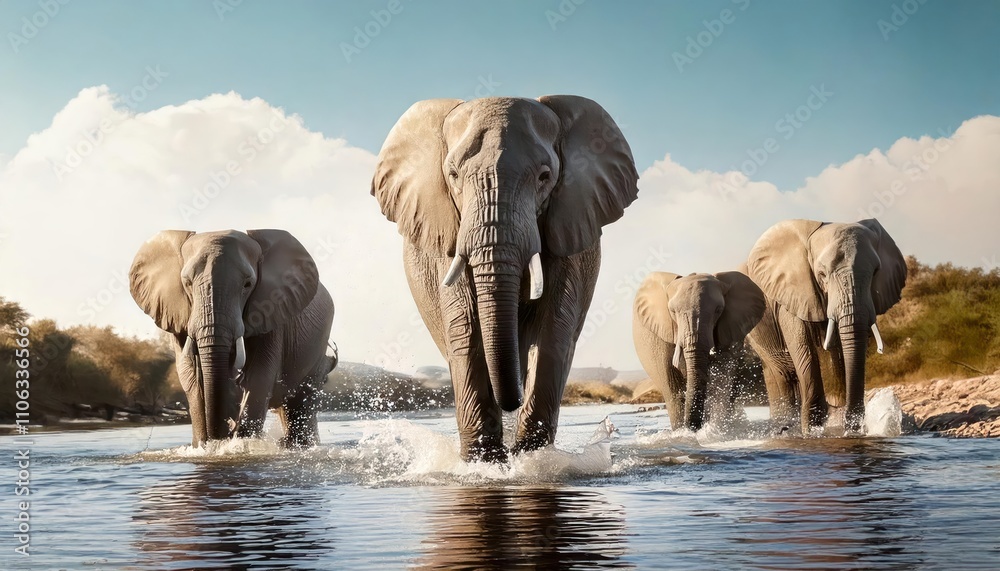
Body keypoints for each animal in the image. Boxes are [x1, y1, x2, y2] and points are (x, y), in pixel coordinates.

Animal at [129, 229, 336, 447]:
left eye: (248, 284)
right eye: (186, 283)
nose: (220, 435)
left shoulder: (273, 309)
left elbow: (258, 378)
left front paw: (237, 446)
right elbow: (191, 377)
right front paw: (204, 447)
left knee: (301, 401)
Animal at [371, 96, 639, 462]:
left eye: (544, 176)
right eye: (453, 175)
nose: (512, 401)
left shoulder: (567, 226)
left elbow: (554, 328)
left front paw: (531, 459)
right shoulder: (448, 233)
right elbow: (465, 328)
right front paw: (483, 463)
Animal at [743, 218, 906, 434]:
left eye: (875, 273)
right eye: (821, 274)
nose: (852, 425)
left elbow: (839, 355)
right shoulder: (791, 295)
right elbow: (805, 349)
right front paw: (812, 429)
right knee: (781, 376)